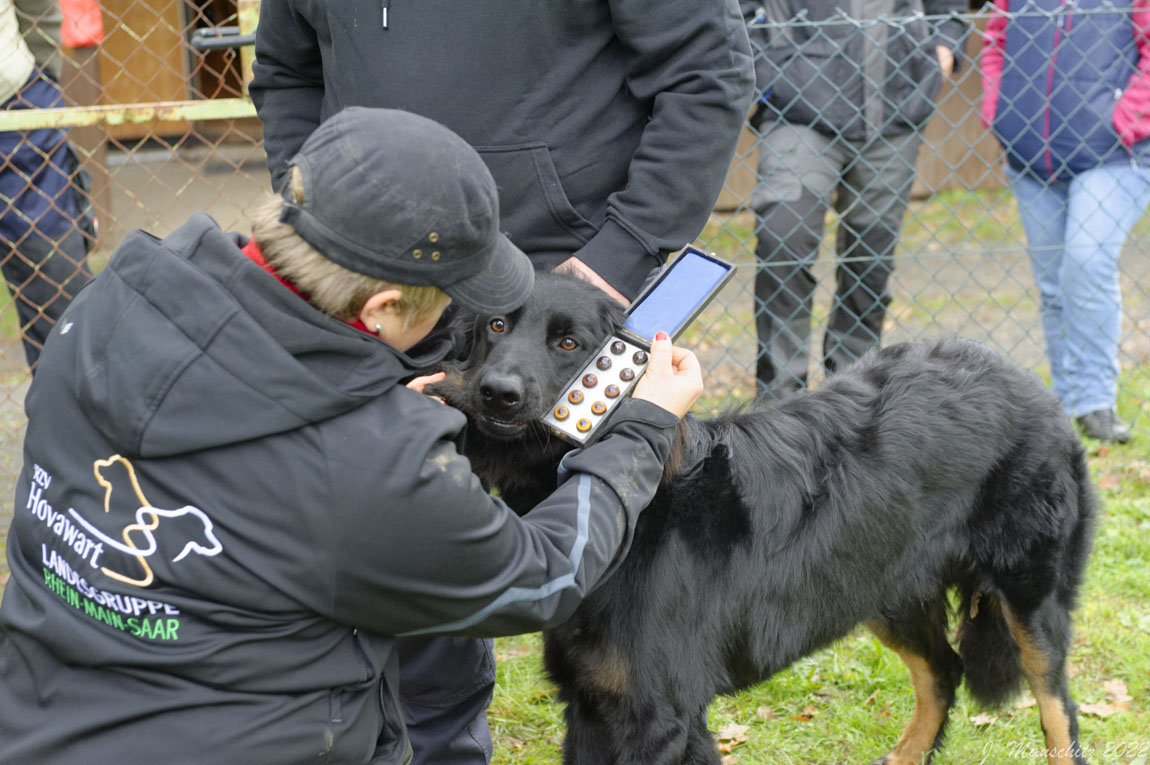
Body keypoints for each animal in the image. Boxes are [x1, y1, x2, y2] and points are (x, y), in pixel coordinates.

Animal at [437, 271, 1094, 759]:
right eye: (497, 325)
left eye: (569, 344)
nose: (496, 393)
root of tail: (1029, 383)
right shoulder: (591, 704)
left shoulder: (657, 713)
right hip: (882, 586)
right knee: (943, 672)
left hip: (1027, 595)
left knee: (1057, 708)